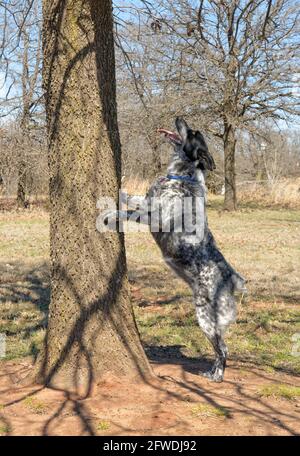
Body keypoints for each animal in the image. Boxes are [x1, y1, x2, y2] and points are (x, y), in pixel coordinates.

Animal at [105, 116, 246, 382]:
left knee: (223, 349)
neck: (181, 177)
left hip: (205, 318)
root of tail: (231, 278)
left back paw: (216, 376)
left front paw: (109, 215)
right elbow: (130, 197)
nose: (179, 117)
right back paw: (210, 371)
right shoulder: (146, 201)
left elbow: (127, 212)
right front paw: (120, 189)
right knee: (220, 348)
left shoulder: (155, 217)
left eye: (191, 133)